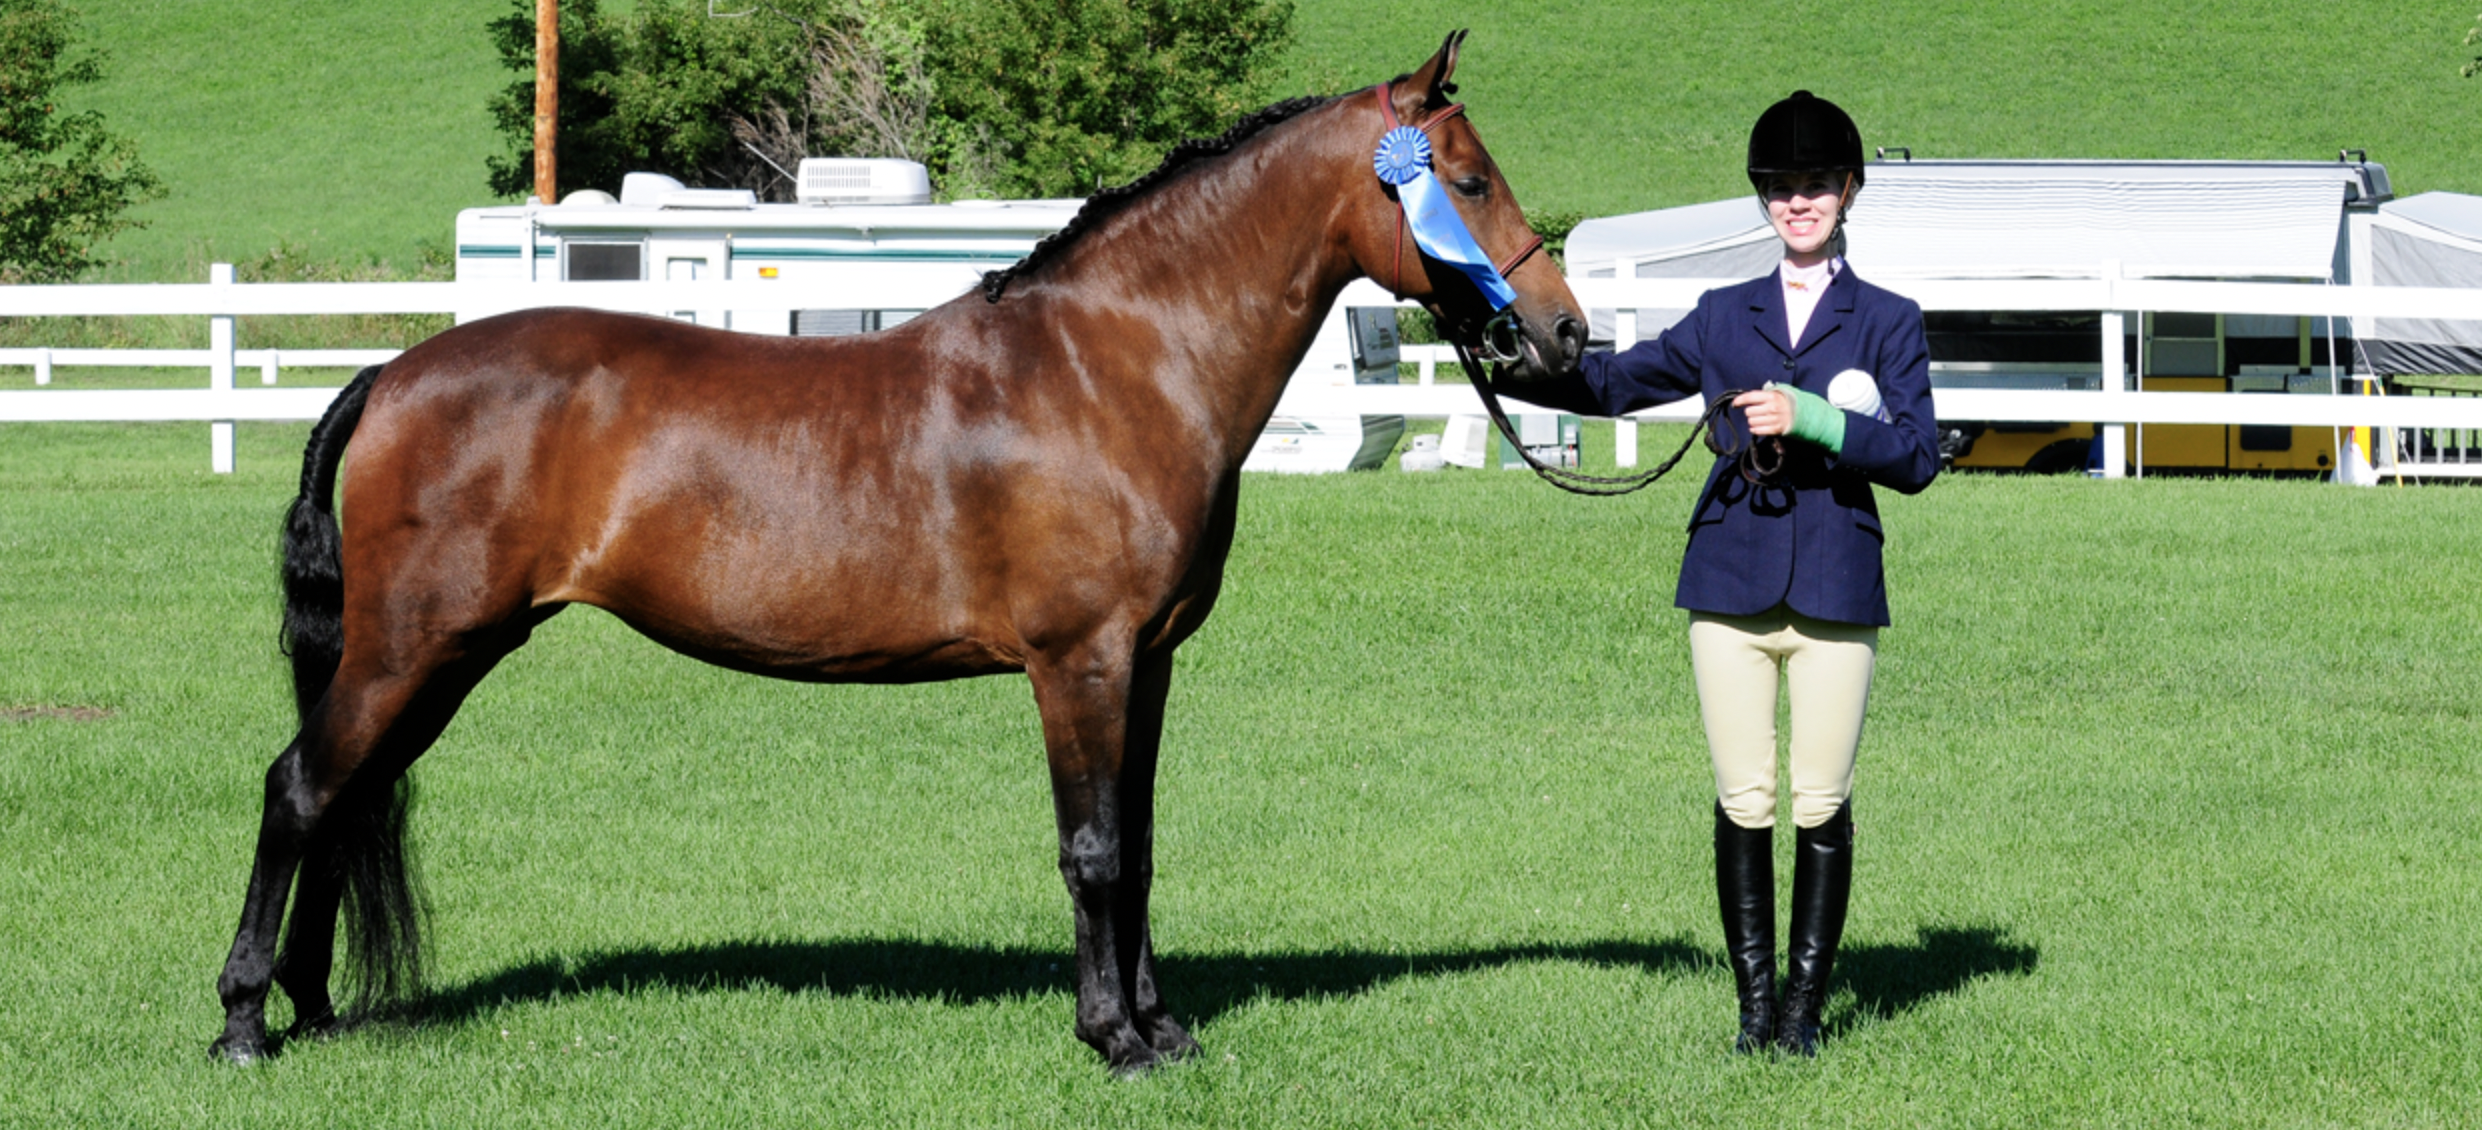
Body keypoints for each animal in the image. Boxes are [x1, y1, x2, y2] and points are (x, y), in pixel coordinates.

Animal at [209, 30, 1586, 1073]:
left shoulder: (1146, 663)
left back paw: (314, 1006)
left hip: (438, 655)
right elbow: (1093, 850)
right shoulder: (1078, 663)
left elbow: (1138, 843)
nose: (1563, 336)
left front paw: (1161, 1024)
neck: (1112, 367)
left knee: (345, 794)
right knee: (299, 787)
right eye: (1464, 182)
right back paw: (243, 1022)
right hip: (414, 644)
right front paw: (1112, 1037)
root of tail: (395, 373)